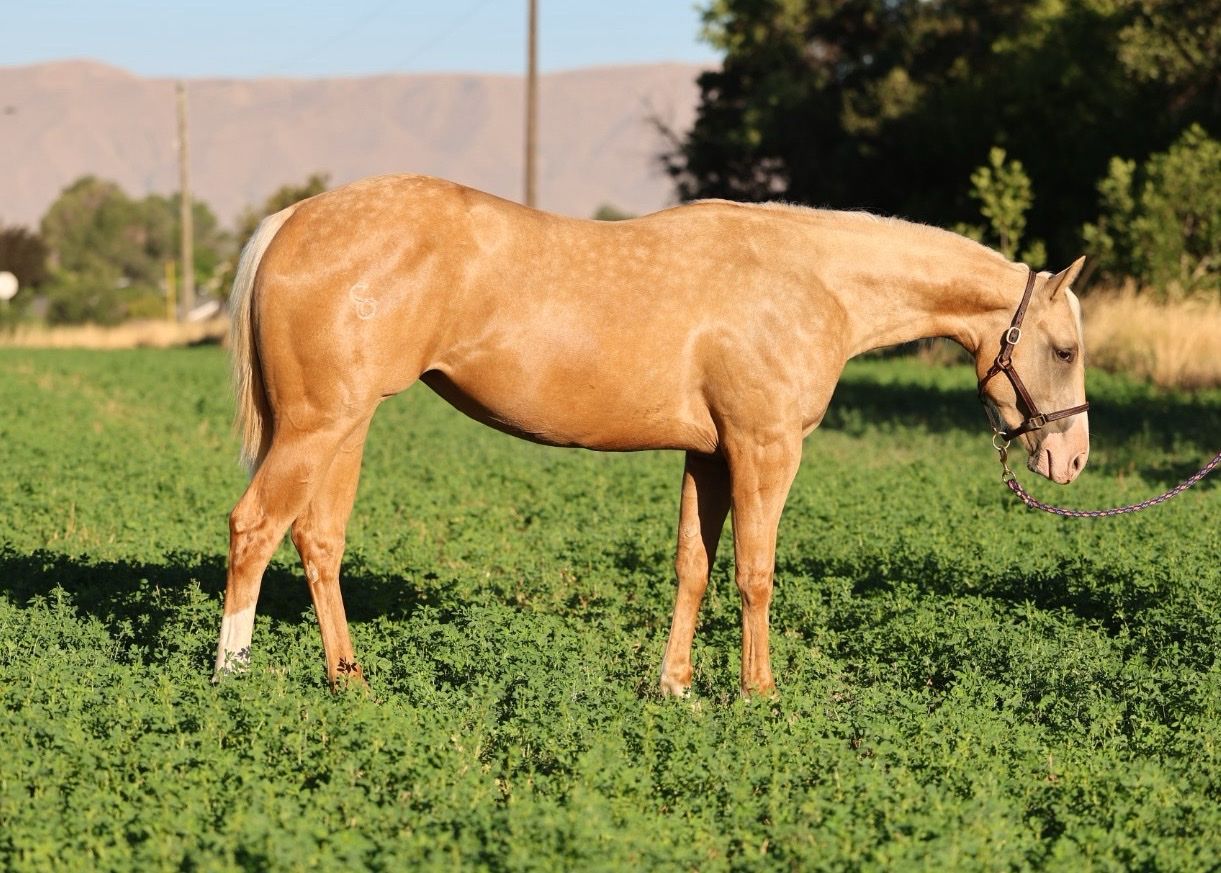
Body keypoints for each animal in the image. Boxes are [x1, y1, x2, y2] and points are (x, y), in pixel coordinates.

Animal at [214, 174, 1089, 697]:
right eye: (1065, 349)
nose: (1071, 457)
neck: (811, 279)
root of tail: (294, 218)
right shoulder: (764, 449)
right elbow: (754, 574)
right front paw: (759, 695)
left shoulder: (708, 456)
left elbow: (692, 569)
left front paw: (677, 687)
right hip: (319, 425)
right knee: (254, 528)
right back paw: (231, 674)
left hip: (345, 426)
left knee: (318, 540)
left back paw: (350, 681)